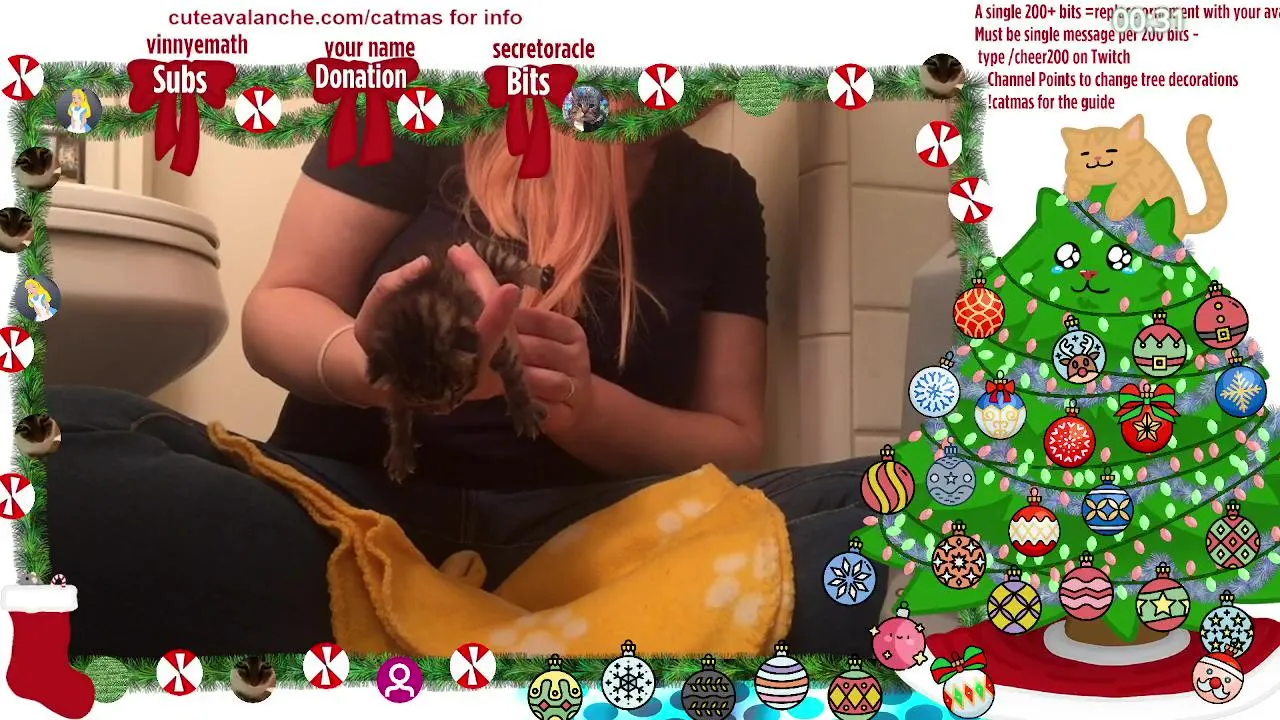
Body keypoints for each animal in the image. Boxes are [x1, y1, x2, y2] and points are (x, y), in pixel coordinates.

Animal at [364, 236, 555, 483]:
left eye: (457, 387)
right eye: (421, 400)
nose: (446, 410)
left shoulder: (492, 336)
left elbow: (513, 373)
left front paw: (524, 410)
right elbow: (397, 408)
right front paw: (400, 449)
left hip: (481, 251)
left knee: (513, 264)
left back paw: (540, 277)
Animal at [1061, 114, 1227, 238]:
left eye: (1112, 150)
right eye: (1085, 153)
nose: (1097, 157)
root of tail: (1185, 217)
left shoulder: (1140, 175)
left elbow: (1125, 189)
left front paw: (1114, 210)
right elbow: (1075, 178)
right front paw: (1074, 191)